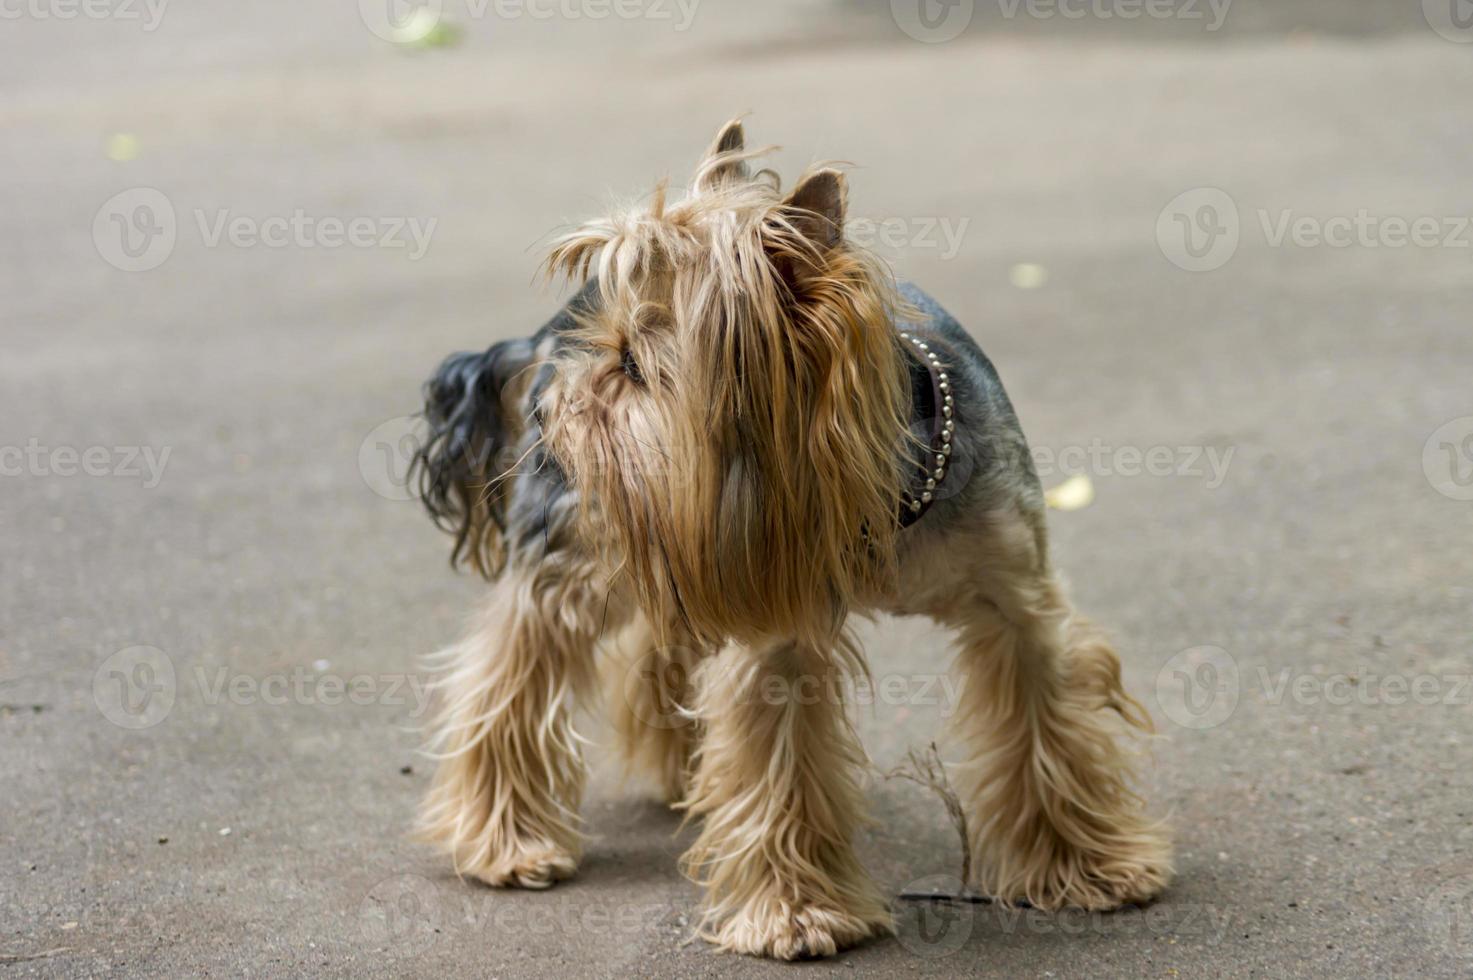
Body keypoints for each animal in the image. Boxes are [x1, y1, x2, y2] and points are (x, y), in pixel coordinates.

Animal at [409, 118, 1166, 960]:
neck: (883, 506)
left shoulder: (1014, 597)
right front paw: (797, 912)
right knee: (511, 670)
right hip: (587, 537)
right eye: (607, 349)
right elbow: (781, 767)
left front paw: (1086, 864)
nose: (549, 409)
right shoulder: (768, 614)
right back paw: (506, 842)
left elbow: (1049, 729)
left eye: (632, 367)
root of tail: (542, 335)